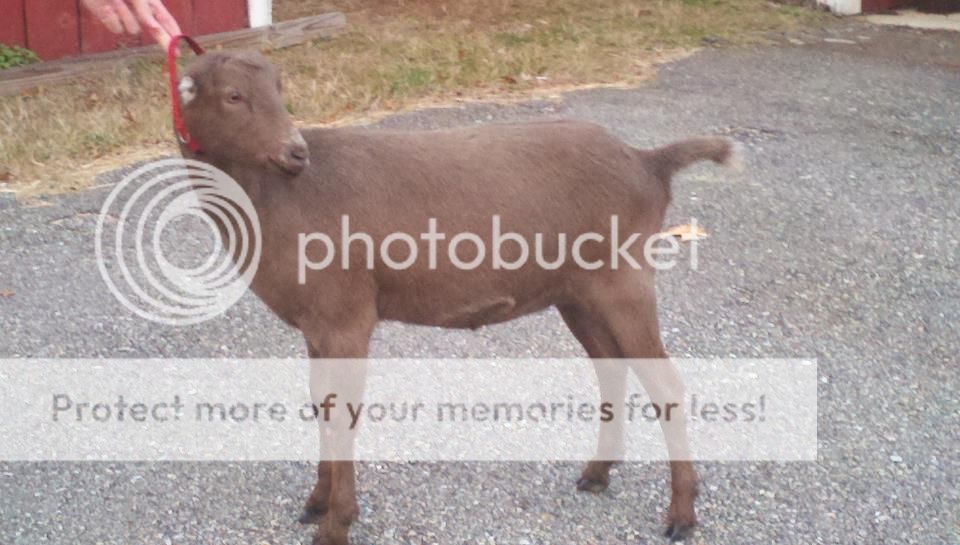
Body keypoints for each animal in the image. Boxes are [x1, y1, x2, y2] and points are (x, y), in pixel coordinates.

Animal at [177, 50, 738, 545]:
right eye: (233, 96)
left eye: (278, 89)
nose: (296, 151)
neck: (275, 202)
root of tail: (649, 163)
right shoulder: (315, 321)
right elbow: (322, 405)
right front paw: (316, 503)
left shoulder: (346, 314)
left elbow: (343, 413)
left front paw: (337, 524)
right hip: (577, 290)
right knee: (611, 366)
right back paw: (598, 472)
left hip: (624, 277)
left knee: (666, 383)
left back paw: (681, 515)